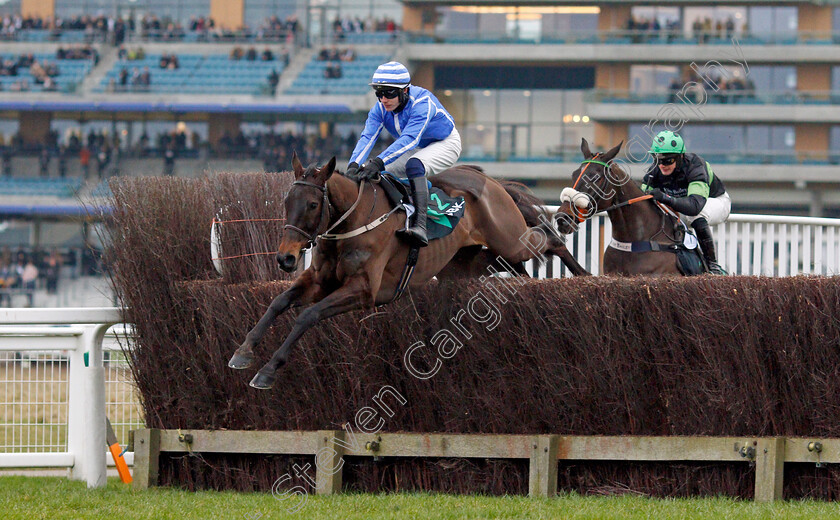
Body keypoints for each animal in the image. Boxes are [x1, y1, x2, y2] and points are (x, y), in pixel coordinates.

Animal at [226, 152, 588, 388]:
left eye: (313, 205)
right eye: (286, 202)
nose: (285, 259)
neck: (352, 223)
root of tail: (490, 180)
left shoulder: (364, 290)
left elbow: (307, 316)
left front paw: (268, 371)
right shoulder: (318, 281)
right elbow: (279, 303)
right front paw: (243, 352)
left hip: (509, 236)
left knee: (547, 238)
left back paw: (582, 273)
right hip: (463, 262)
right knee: (509, 262)